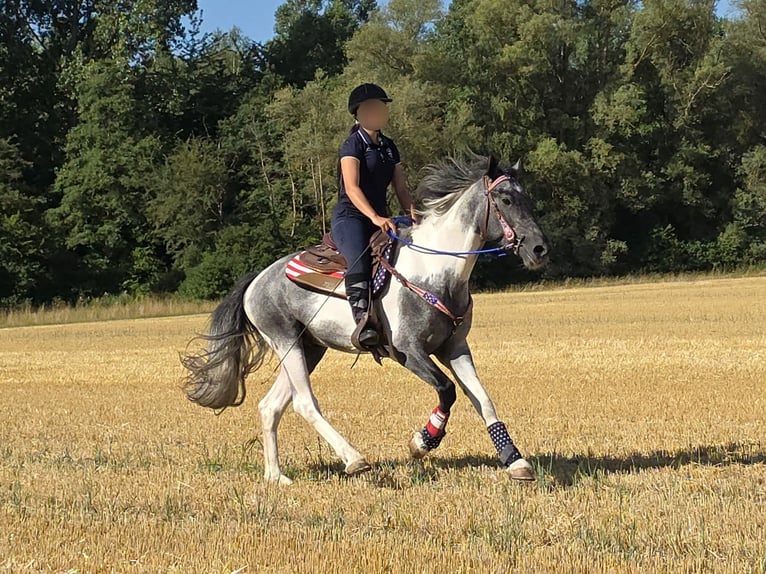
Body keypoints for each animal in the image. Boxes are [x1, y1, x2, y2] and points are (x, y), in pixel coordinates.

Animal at [181, 154, 549, 485]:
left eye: (528, 199)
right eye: (506, 199)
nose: (539, 249)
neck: (436, 272)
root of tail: (256, 279)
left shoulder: (455, 348)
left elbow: (483, 399)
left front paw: (516, 461)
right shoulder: (409, 351)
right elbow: (447, 390)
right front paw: (422, 442)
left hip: (308, 348)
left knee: (270, 406)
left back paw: (276, 477)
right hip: (286, 342)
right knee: (304, 403)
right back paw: (354, 459)